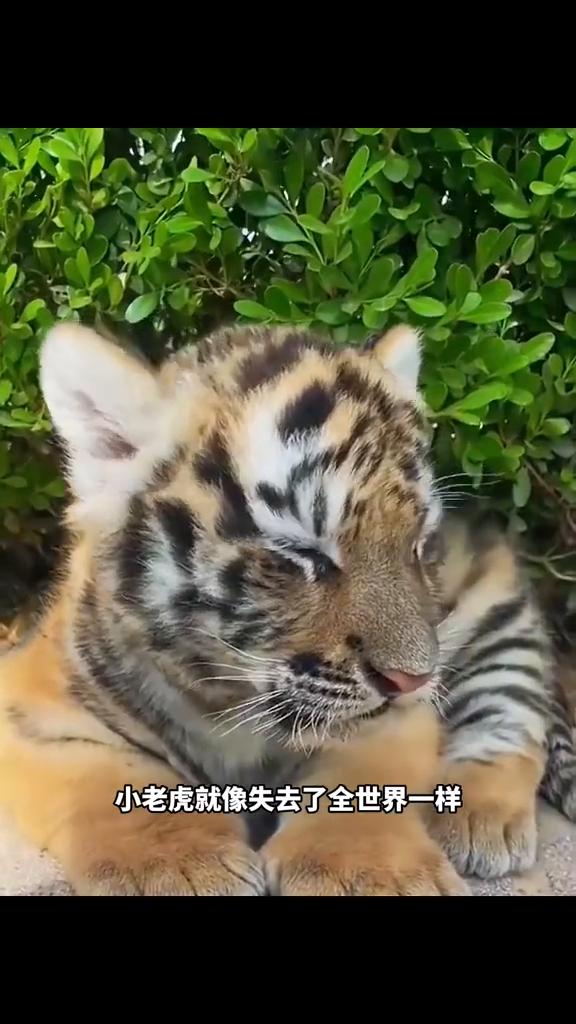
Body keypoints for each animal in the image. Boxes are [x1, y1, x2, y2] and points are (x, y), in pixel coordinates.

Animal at [0, 319, 574, 896]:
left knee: (509, 715)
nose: (412, 679)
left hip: (496, 604)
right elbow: (112, 781)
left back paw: (475, 819)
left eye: (416, 544)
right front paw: (181, 868)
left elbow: (363, 777)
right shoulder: (33, 710)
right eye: (303, 552)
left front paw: (366, 872)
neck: (225, 701)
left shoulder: (391, 718)